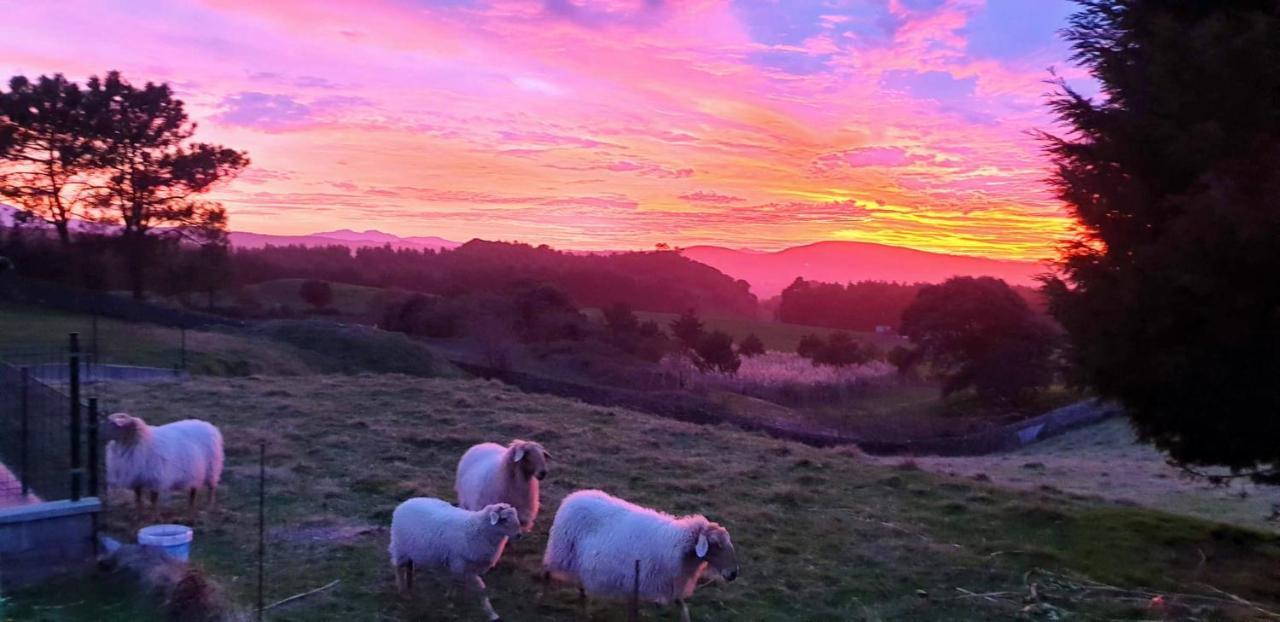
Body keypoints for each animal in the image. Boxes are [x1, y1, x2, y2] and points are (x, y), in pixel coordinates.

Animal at [384, 499, 519, 619]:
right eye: (504, 519)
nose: (519, 534)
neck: (476, 527)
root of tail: (404, 503)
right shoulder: (459, 562)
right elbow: (465, 583)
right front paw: (451, 601)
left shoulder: (469, 567)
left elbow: (473, 586)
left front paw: (489, 612)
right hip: (400, 547)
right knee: (398, 567)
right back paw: (403, 592)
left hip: (410, 550)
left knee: (408, 567)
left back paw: (409, 586)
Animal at [542, 491, 742, 622]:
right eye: (716, 544)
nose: (733, 574)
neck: (679, 545)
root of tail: (572, 498)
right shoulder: (638, 579)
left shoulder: (669, 584)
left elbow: (682, 607)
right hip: (562, 550)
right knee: (547, 570)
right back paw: (544, 596)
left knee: (581, 584)